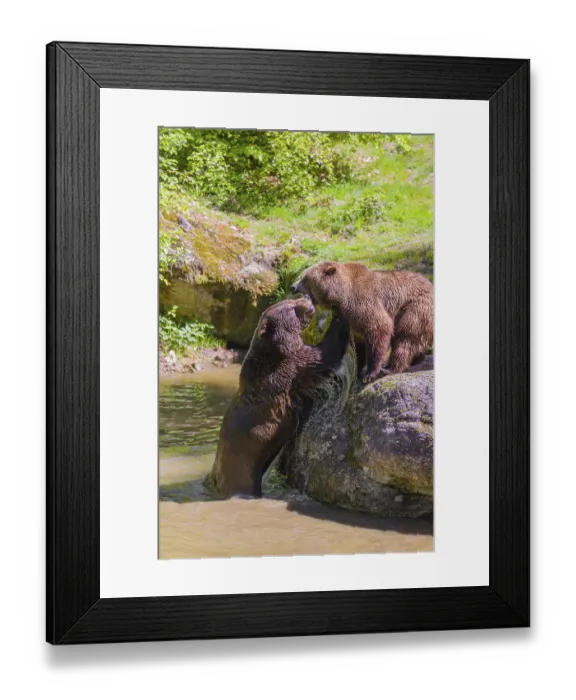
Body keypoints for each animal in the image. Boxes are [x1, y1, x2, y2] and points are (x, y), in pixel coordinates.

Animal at [209, 296, 350, 498]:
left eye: (290, 299)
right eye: (291, 306)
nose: (306, 297)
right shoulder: (290, 369)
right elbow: (323, 354)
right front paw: (340, 315)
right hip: (241, 472)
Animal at [291, 261, 433, 382]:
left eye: (304, 278)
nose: (292, 286)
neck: (341, 296)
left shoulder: (363, 302)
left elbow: (380, 329)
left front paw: (370, 373)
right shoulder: (349, 319)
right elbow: (357, 345)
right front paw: (357, 370)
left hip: (415, 308)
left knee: (405, 338)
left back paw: (390, 368)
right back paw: (417, 360)